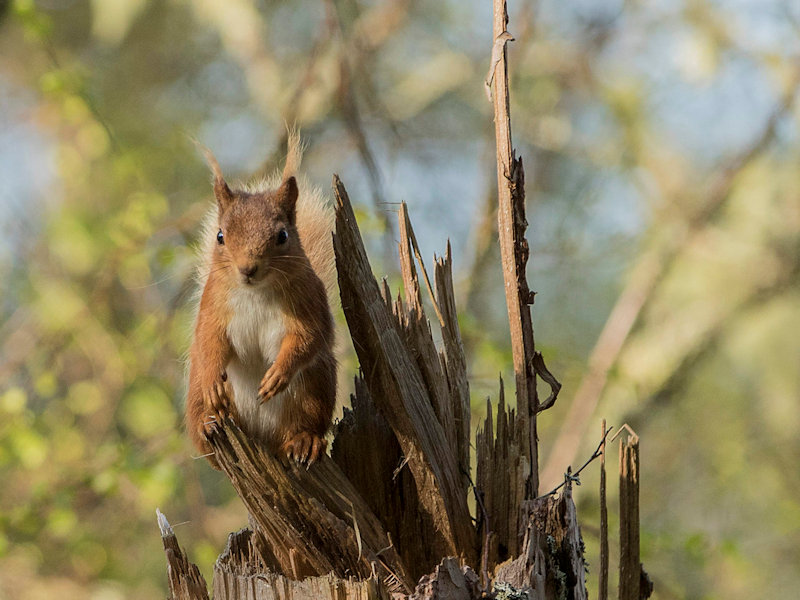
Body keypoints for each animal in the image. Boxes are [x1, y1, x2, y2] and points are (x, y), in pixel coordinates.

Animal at [186, 132, 337, 468]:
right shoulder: (212, 306)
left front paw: (278, 374)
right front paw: (215, 380)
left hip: (313, 389)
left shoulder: (310, 303)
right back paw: (207, 424)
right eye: (220, 236)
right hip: (196, 390)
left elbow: (307, 339)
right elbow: (209, 339)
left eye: (282, 236)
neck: (256, 292)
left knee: (303, 423)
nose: (247, 269)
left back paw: (304, 441)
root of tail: (264, 439)